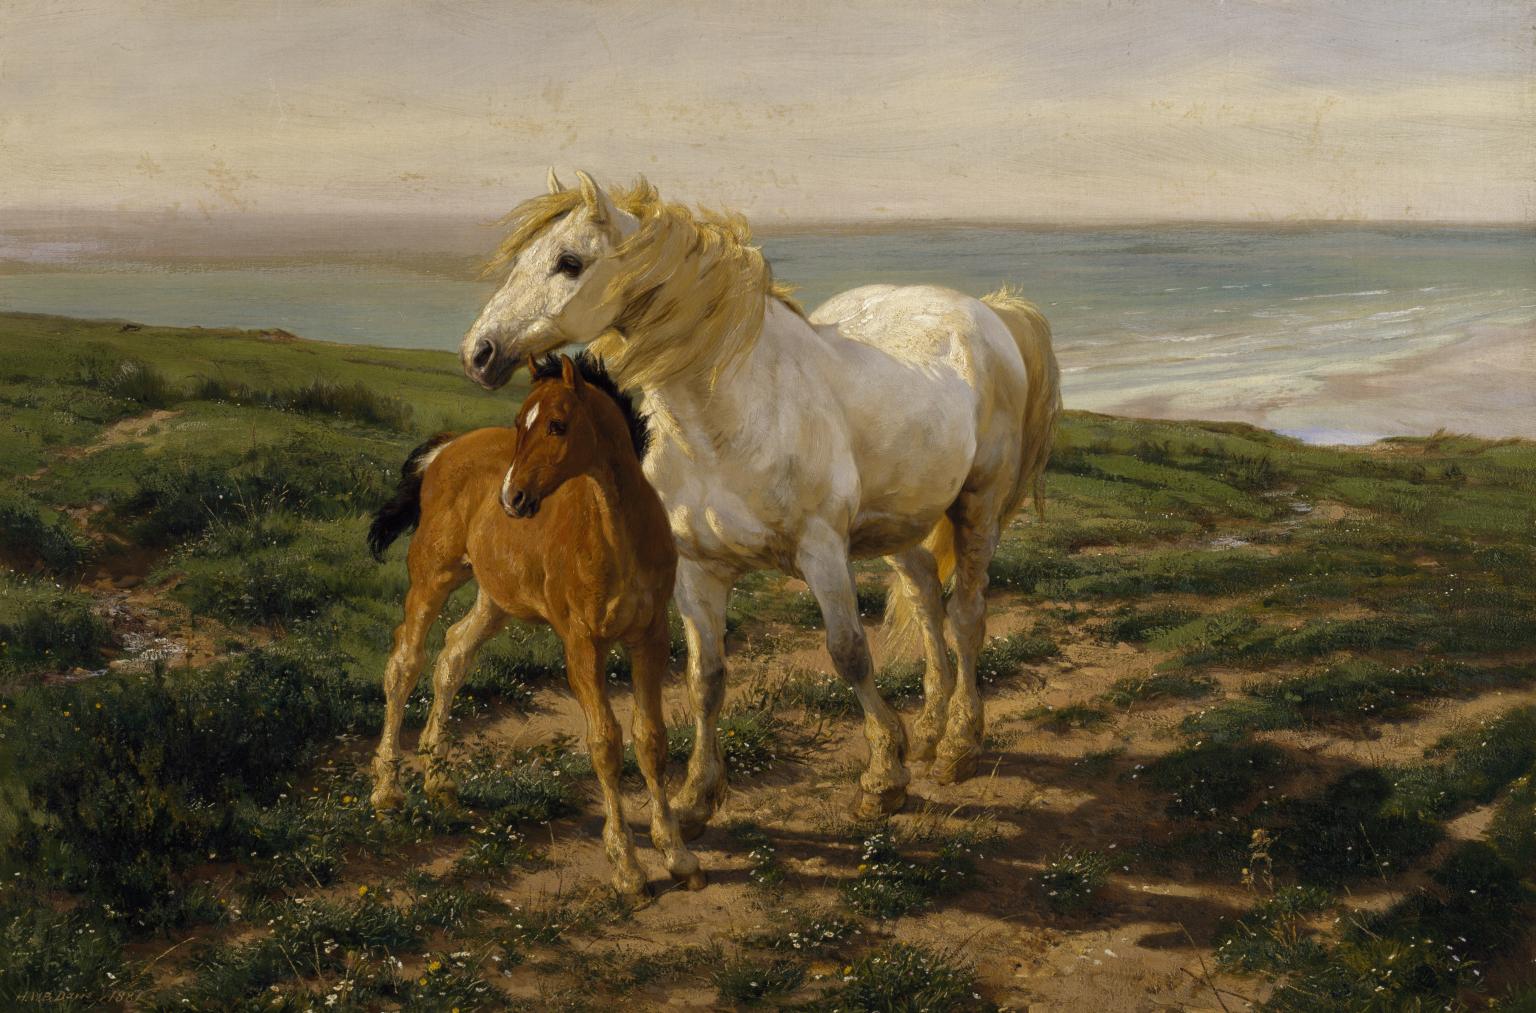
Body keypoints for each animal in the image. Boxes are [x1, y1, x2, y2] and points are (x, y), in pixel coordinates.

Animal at [365, 352, 704, 896]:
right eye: (519, 422)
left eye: (557, 425)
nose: (513, 499)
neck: (617, 534)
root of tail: (444, 450)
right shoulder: (583, 646)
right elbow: (605, 743)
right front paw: (627, 867)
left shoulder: (649, 639)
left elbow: (651, 740)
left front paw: (677, 855)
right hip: (433, 577)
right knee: (404, 664)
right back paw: (387, 792)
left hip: (495, 599)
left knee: (453, 655)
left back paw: (440, 782)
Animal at [461, 170, 1061, 835]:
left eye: (569, 262)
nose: (479, 353)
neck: (727, 422)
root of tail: (986, 310)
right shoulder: (698, 570)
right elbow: (705, 678)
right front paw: (697, 796)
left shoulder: (822, 553)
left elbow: (851, 654)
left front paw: (883, 777)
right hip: (898, 522)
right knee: (928, 600)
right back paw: (929, 732)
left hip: (977, 504)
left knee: (967, 613)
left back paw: (958, 744)